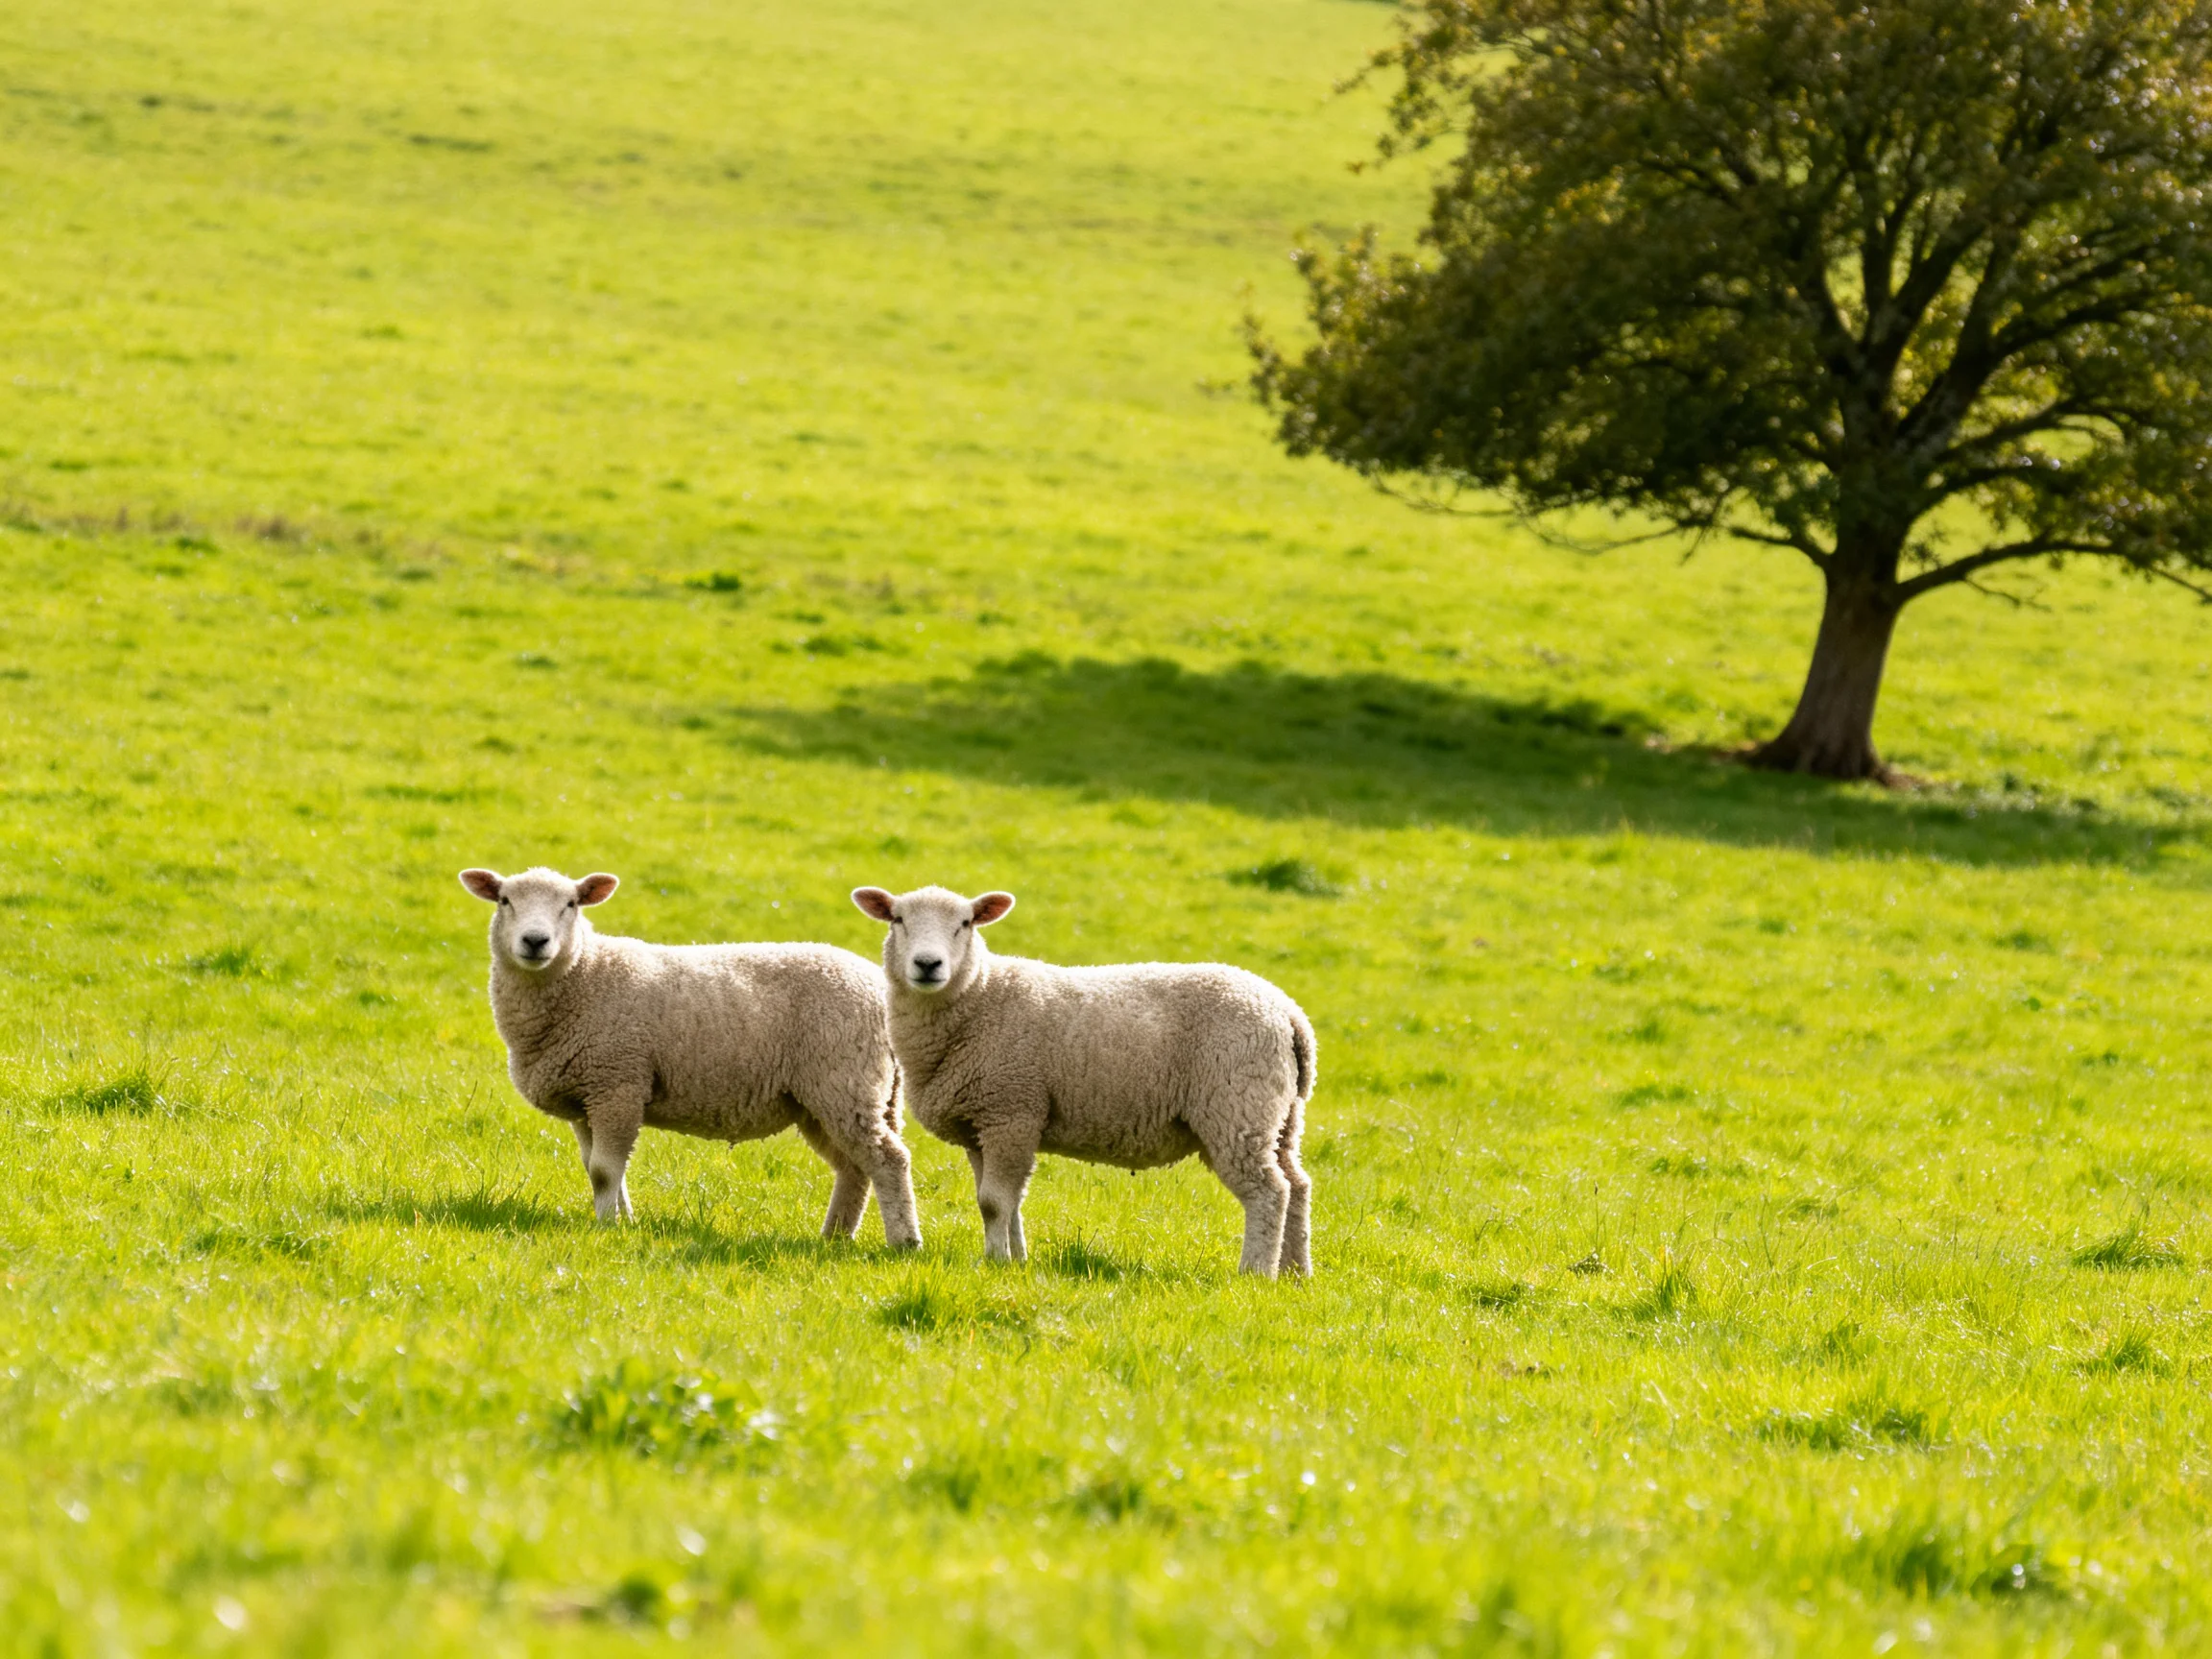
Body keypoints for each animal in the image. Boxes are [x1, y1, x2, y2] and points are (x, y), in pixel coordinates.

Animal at [460, 866, 920, 1247]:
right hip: (834, 1098)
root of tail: (876, 985)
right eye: (505, 900)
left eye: (570, 904)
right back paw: (834, 1238)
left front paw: (607, 1227)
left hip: (844, 1081)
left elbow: (605, 1170)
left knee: (888, 1160)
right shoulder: (586, 1099)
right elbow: (598, 1169)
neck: (586, 975)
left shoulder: (618, 1083)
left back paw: (903, 1242)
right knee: (855, 1168)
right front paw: (624, 1221)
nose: (535, 941)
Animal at [849, 884, 1315, 1277]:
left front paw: (995, 1261)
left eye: (965, 923)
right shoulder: (984, 1126)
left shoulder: (1011, 1111)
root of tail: (1288, 1013)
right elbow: (1006, 1202)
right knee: (1297, 1185)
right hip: (1280, 1116)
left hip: (1238, 1108)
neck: (979, 997)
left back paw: (1255, 1272)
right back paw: (1295, 1272)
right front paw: (1015, 1260)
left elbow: (993, 1203)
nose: (928, 964)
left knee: (1269, 1191)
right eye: (897, 919)